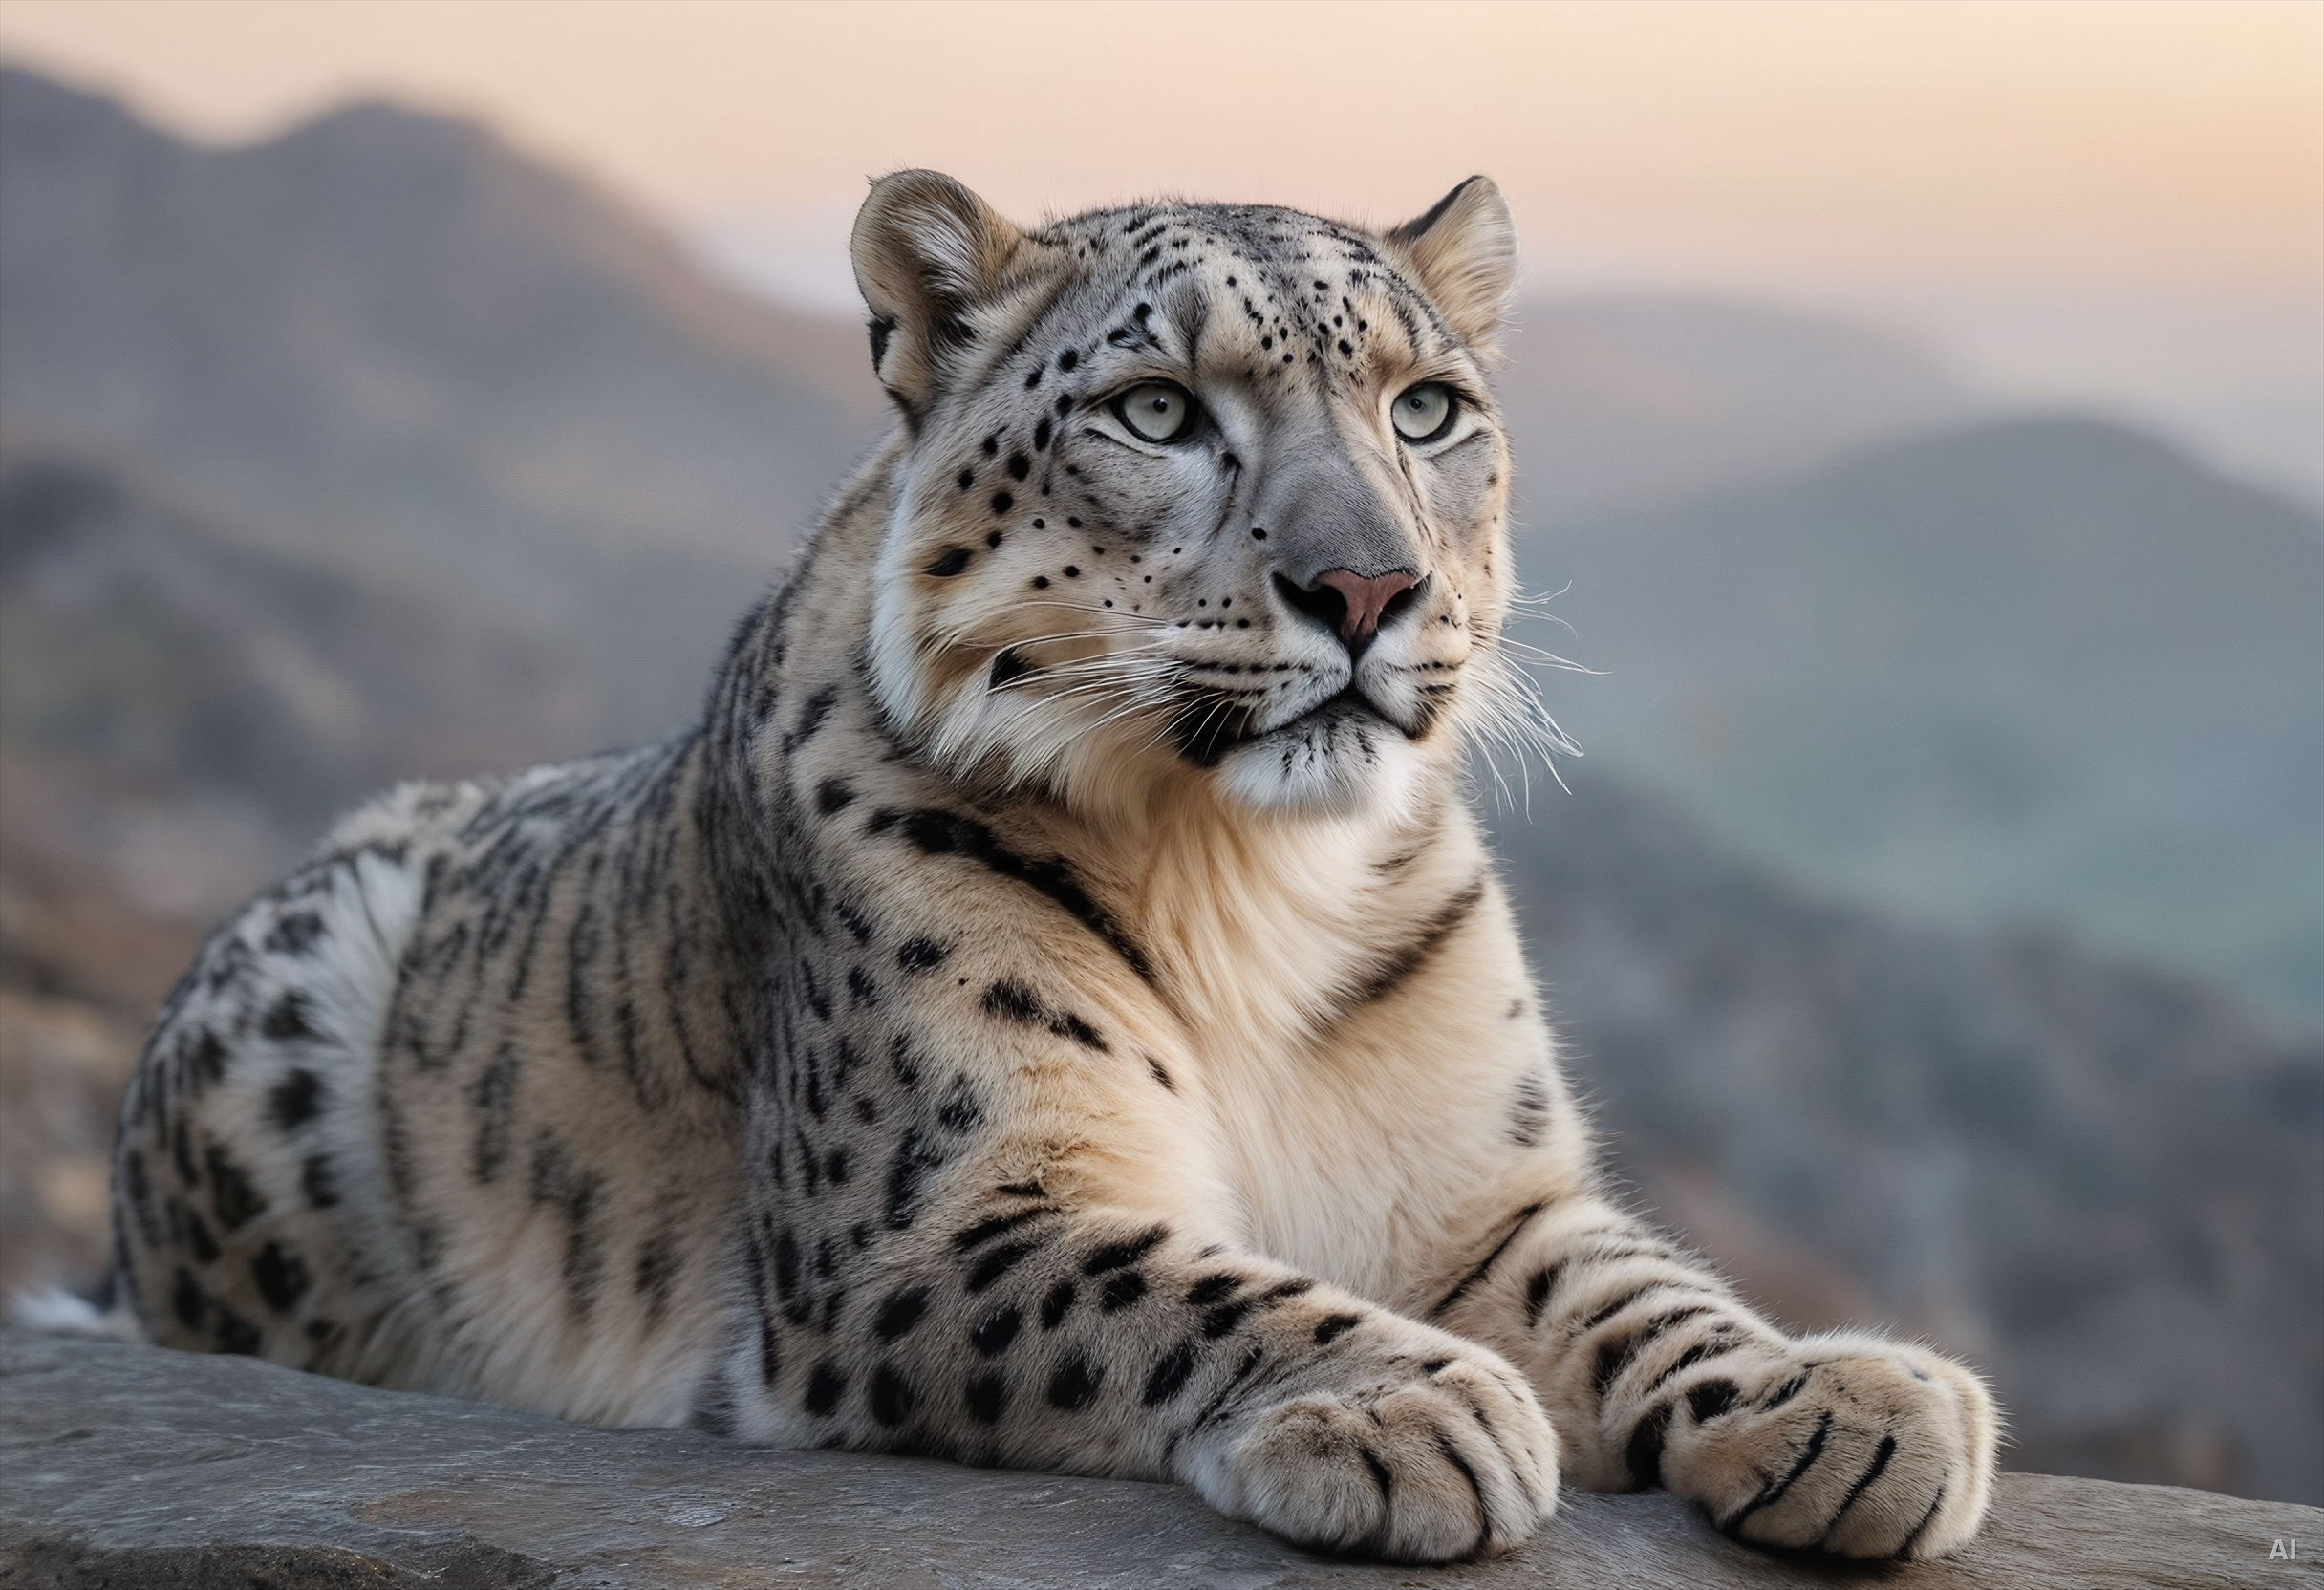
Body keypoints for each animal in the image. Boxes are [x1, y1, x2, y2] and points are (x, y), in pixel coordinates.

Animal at [67, 171, 1999, 1564]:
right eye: (1157, 408)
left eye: (1429, 408)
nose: (1367, 586)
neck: (1249, 886)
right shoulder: (930, 1221)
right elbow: (1175, 1285)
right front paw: (1410, 1407)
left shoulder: (1478, 1192)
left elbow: (1642, 1290)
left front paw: (1852, 1403)